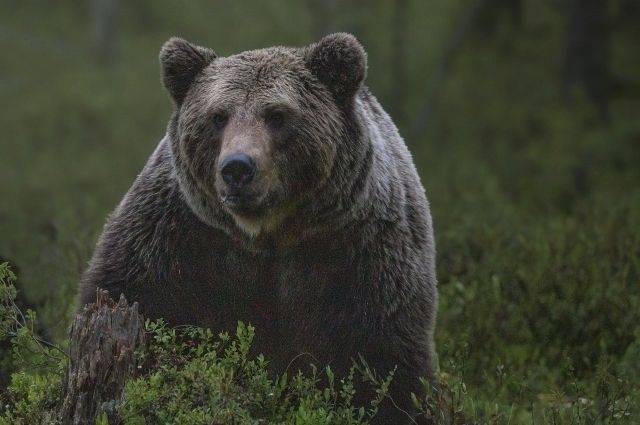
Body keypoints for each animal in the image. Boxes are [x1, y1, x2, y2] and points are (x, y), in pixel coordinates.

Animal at [80, 33, 438, 420]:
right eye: (218, 116)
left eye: (277, 115)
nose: (237, 168)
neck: (267, 235)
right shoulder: (177, 236)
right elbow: (134, 295)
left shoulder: (360, 252)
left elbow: (383, 358)